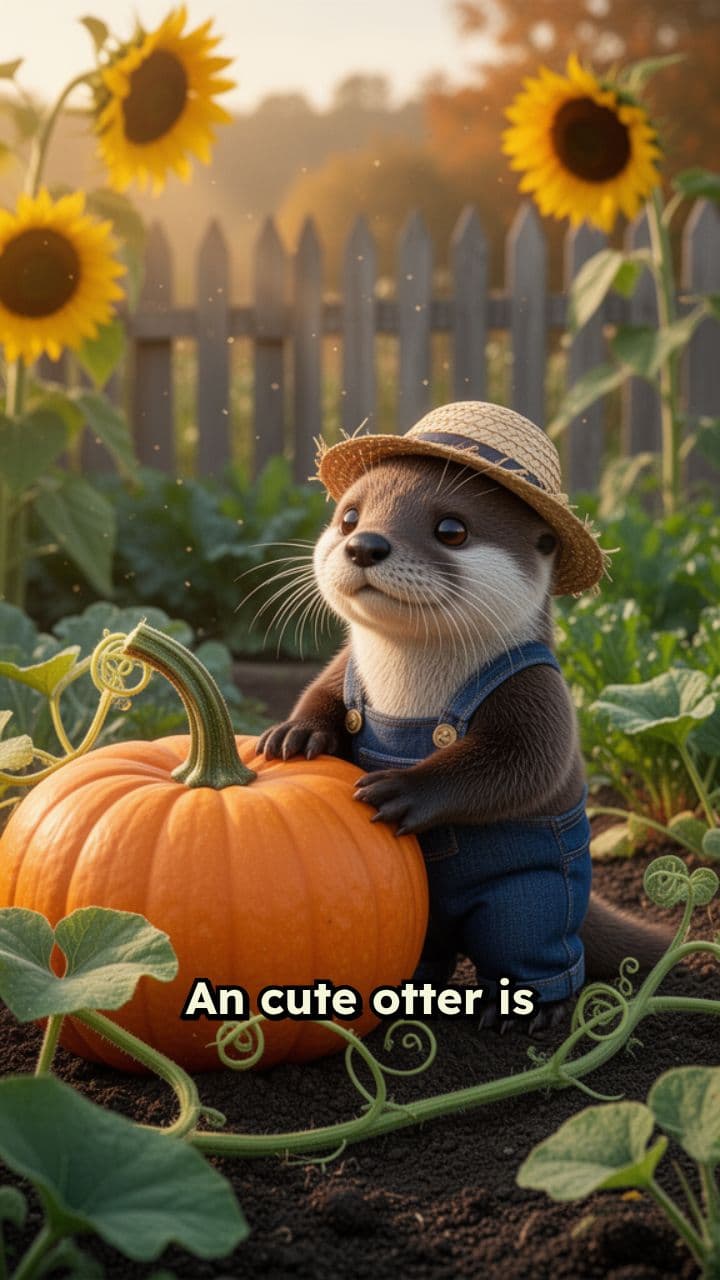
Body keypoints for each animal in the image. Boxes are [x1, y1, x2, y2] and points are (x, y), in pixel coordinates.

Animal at [256, 415, 671, 1031]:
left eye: (451, 528)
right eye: (349, 516)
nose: (364, 544)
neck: (408, 697)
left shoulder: (539, 696)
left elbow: (519, 763)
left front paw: (402, 789)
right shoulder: (343, 664)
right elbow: (320, 692)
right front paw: (295, 733)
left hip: (535, 891)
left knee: (531, 942)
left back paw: (532, 1009)